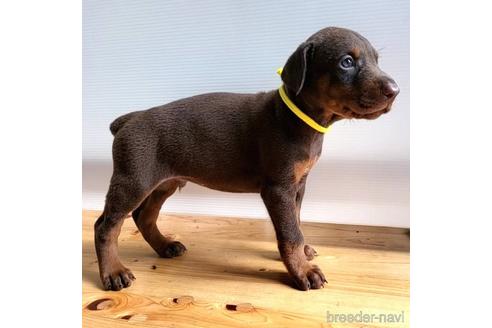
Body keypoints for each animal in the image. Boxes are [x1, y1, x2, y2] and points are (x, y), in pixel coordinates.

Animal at [93, 26, 400, 290]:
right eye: (346, 62)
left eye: (376, 59)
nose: (395, 90)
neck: (295, 119)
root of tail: (129, 120)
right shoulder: (278, 189)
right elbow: (290, 233)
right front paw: (303, 271)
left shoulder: (298, 186)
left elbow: (296, 221)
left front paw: (303, 253)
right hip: (134, 180)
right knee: (106, 225)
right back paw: (114, 272)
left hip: (165, 183)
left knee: (143, 216)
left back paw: (164, 246)